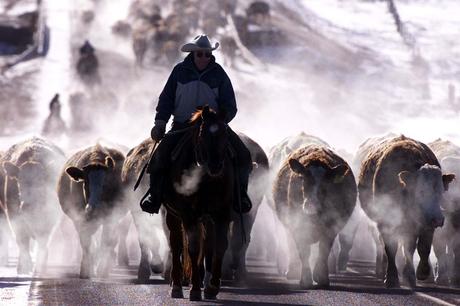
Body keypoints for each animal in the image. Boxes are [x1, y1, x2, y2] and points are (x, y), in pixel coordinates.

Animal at [164, 106, 234, 302]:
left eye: (225, 133)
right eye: (202, 134)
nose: (216, 166)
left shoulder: (222, 214)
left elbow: (220, 246)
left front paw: (212, 287)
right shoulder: (188, 214)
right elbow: (193, 248)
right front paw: (195, 289)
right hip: (173, 215)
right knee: (176, 244)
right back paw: (177, 285)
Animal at [274, 145, 356, 288]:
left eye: (326, 183)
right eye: (304, 179)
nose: (310, 206)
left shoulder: (331, 227)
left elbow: (324, 251)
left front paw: (321, 277)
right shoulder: (298, 227)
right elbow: (304, 252)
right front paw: (306, 279)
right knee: (291, 246)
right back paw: (293, 271)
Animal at [358, 135, 454, 288]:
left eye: (441, 191)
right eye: (421, 191)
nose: (438, 219)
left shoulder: (424, 224)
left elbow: (422, 248)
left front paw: (420, 273)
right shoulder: (386, 222)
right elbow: (391, 248)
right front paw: (392, 278)